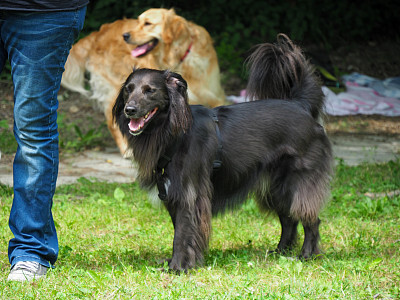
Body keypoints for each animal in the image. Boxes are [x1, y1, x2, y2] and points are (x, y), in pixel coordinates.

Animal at [111, 33, 332, 272]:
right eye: (128, 89)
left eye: (150, 90)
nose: (129, 109)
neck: (172, 133)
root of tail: (301, 106)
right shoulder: (172, 193)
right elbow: (181, 230)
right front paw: (181, 263)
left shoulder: (189, 194)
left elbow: (182, 234)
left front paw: (177, 268)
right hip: (276, 186)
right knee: (289, 218)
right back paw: (280, 252)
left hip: (298, 182)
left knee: (310, 219)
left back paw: (307, 255)